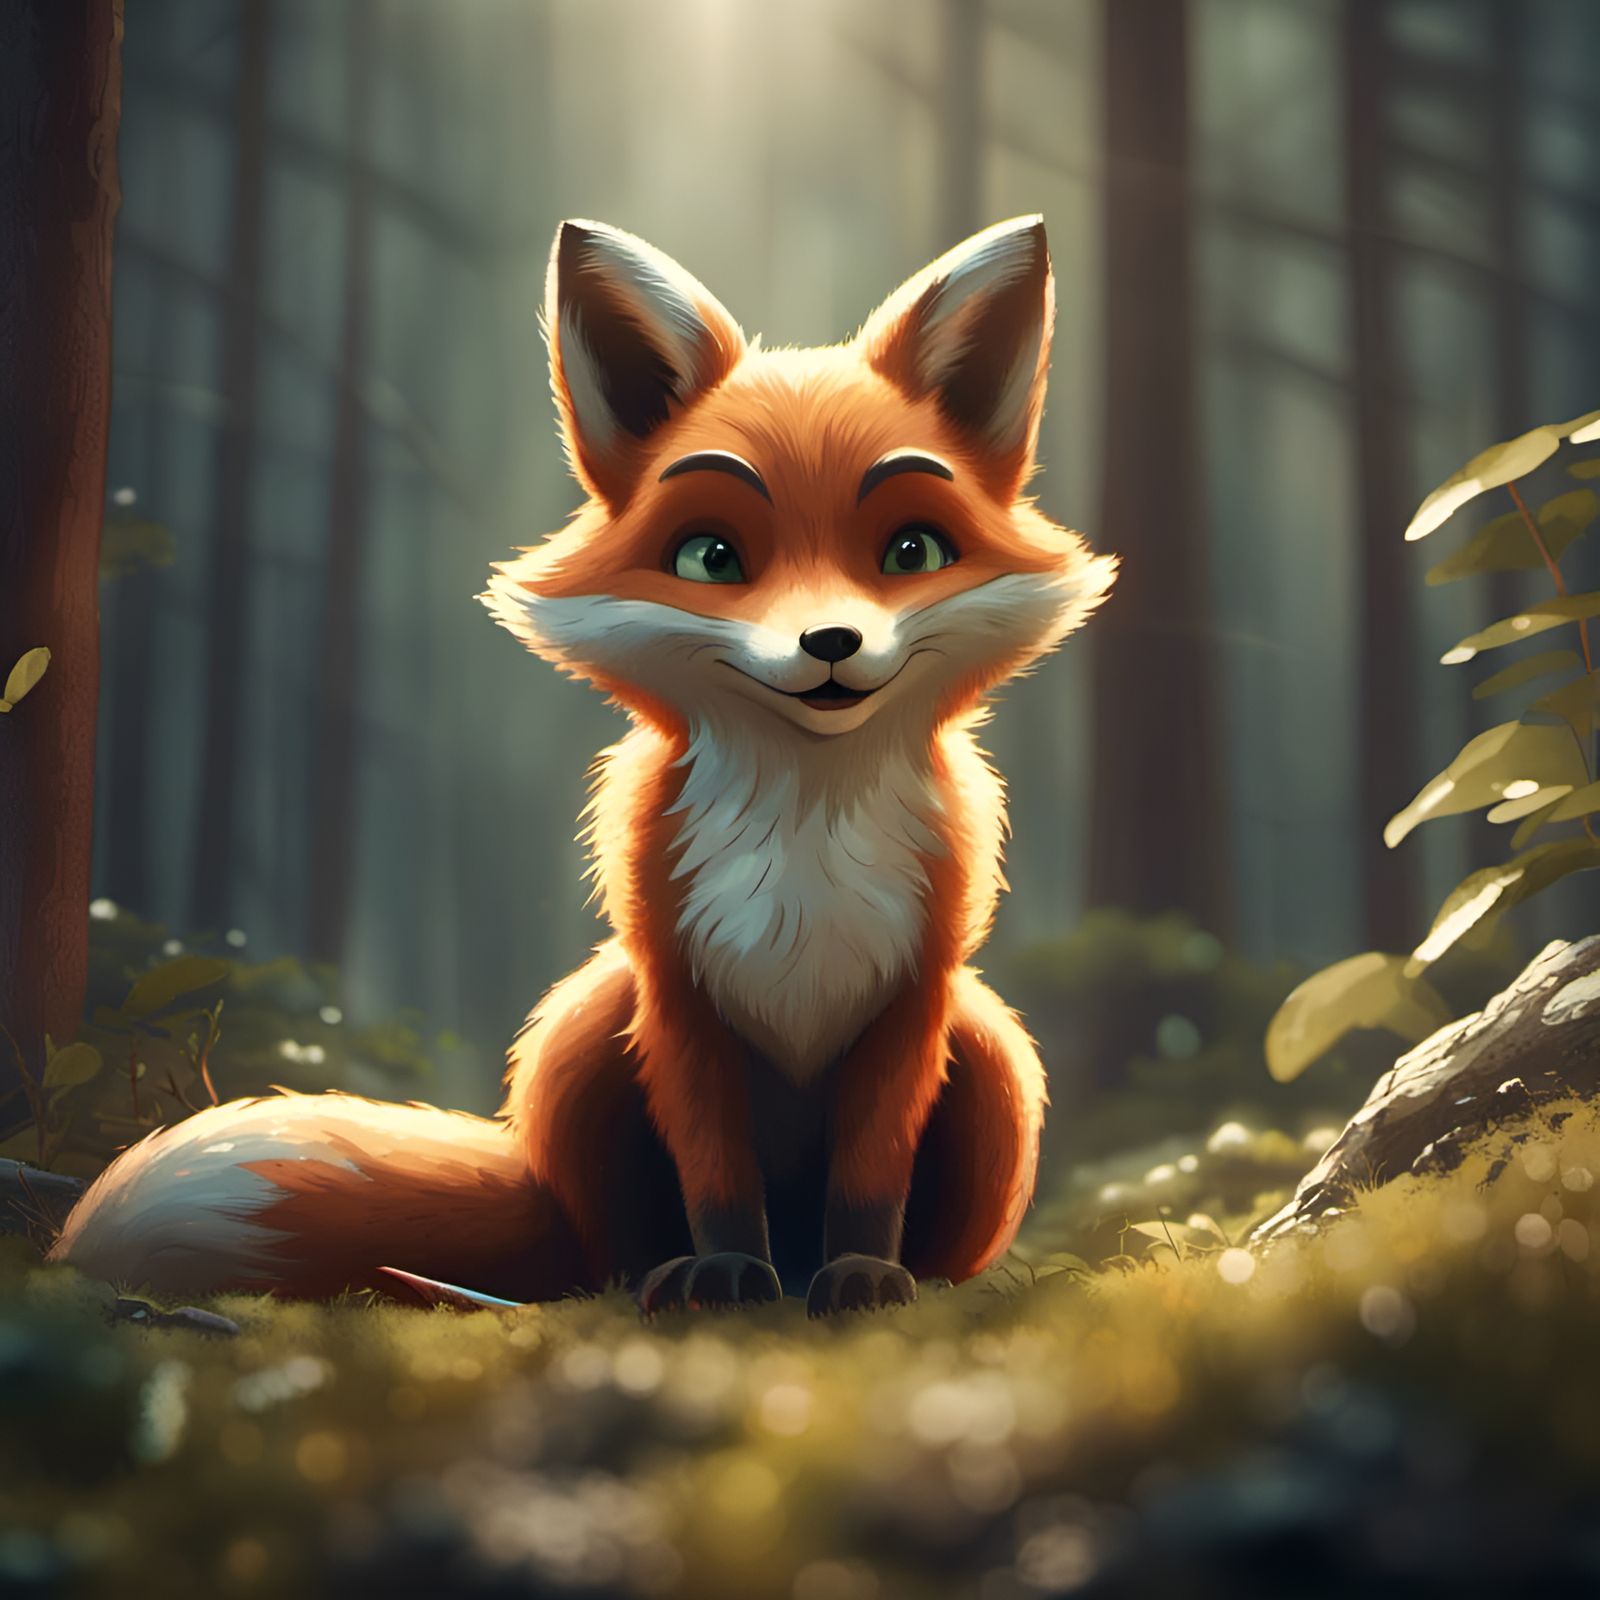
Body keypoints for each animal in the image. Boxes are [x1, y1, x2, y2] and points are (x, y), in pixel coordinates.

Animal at [50, 215, 1114, 1314]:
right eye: (709, 558)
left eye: (911, 551)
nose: (829, 642)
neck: (804, 835)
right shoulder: (674, 987)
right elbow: (715, 1174)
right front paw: (725, 1270)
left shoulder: (915, 993)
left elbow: (869, 1178)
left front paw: (863, 1273)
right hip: (588, 1022)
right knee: (607, 1253)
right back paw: (673, 1273)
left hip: (989, 1046)